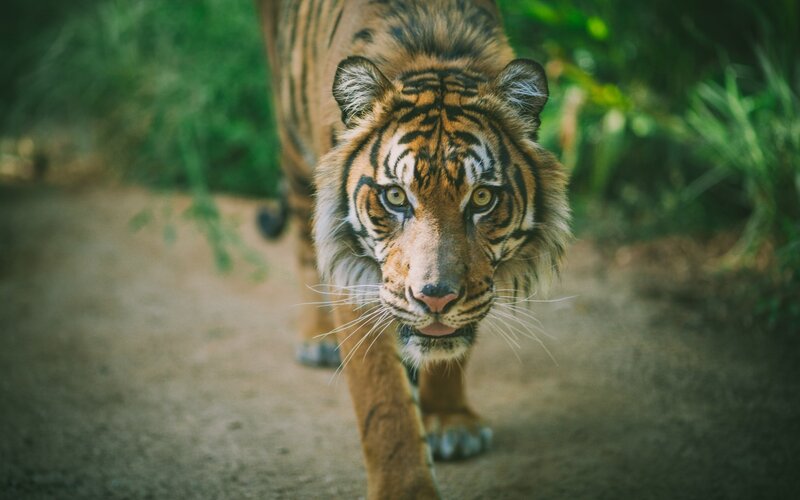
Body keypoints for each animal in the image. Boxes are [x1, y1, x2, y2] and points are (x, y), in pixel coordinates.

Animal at [256, 0, 570, 497]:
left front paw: (450, 422)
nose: (435, 297)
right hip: (292, 142)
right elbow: (384, 402)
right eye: (395, 197)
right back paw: (316, 338)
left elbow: (448, 347)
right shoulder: (360, 283)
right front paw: (406, 486)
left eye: (482, 198)